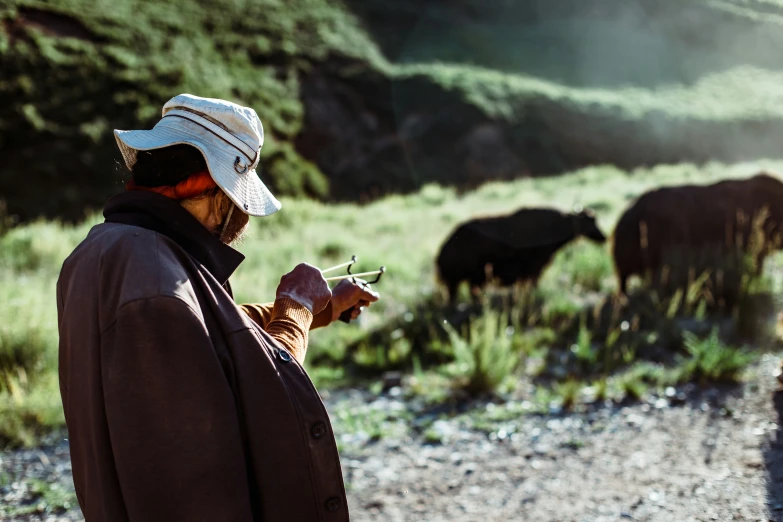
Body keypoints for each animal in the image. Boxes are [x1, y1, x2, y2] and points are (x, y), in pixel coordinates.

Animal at [434, 206, 608, 302]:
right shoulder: (534, 267)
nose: (604, 237)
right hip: (458, 280)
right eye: (591, 222)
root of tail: (443, 251)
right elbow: (533, 283)